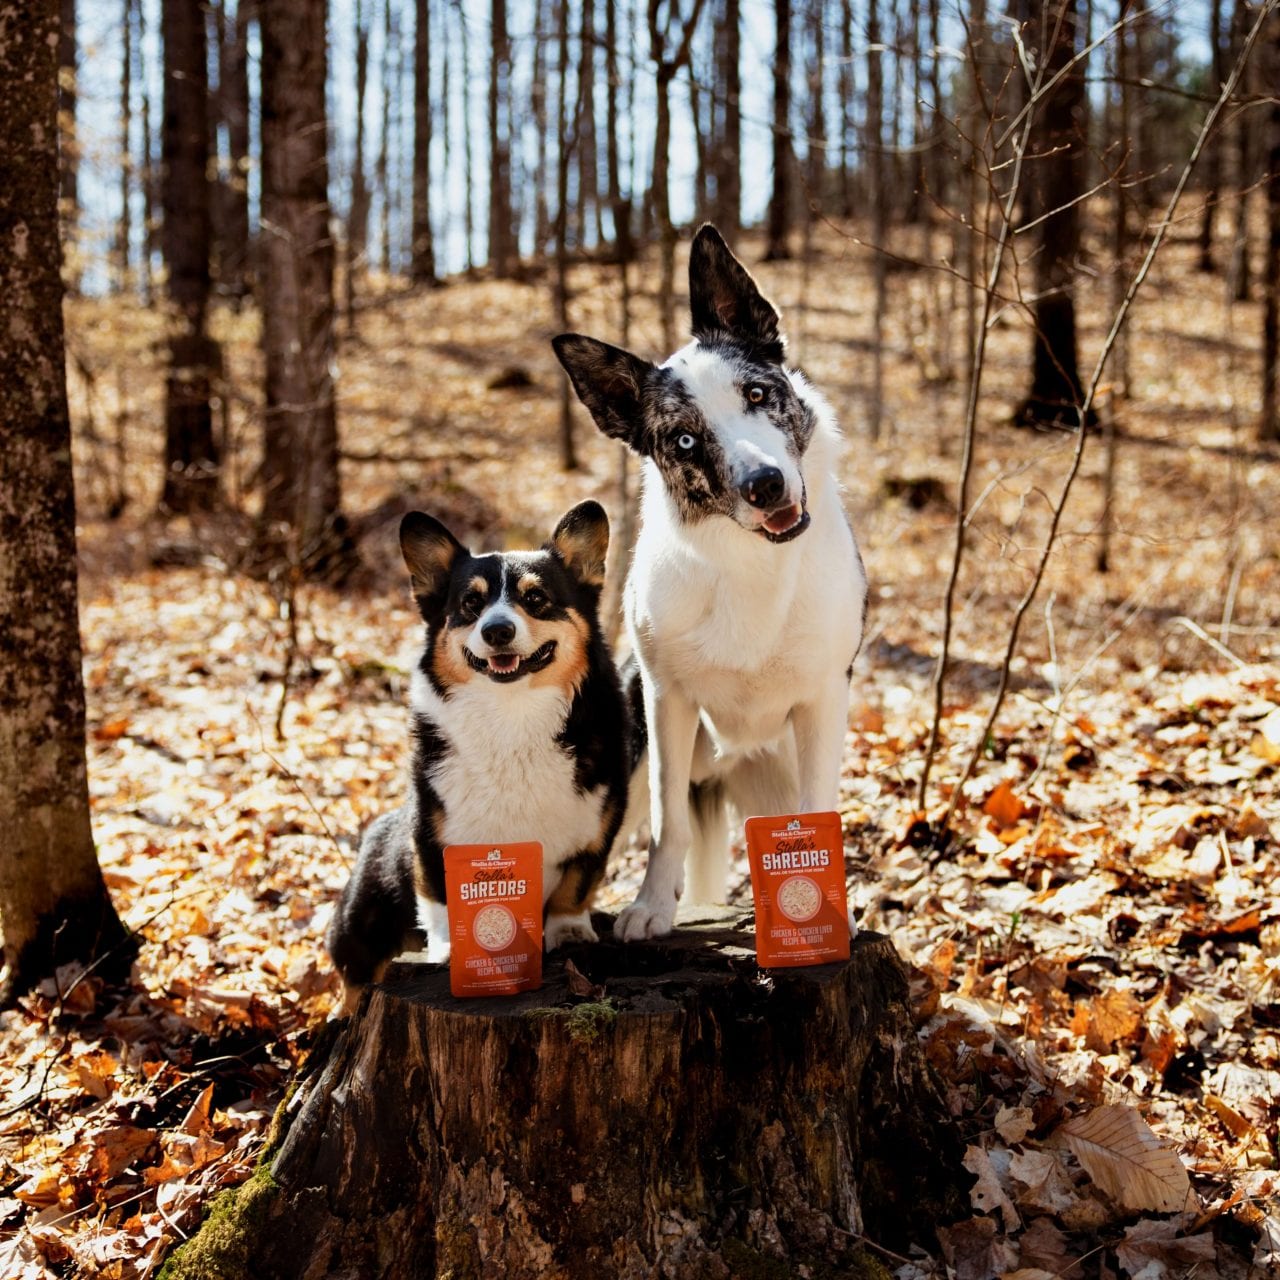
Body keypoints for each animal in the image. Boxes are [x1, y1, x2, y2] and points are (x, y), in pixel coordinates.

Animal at [327, 499, 632, 1008]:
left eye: (536, 598)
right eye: (471, 604)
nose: (498, 630)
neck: (512, 716)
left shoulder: (597, 830)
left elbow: (575, 887)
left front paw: (569, 933)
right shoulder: (431, 836)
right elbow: (440, 897)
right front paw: (450, 950)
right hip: (359, 926)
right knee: (356, 979)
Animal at [552, 222, 870, 942]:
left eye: (756, 394)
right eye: (686, 442)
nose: (765, 486)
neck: (752, 562)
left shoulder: (822, 701)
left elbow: (821, 812)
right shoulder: (666, 703)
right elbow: (667, 823)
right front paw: (651, 907)